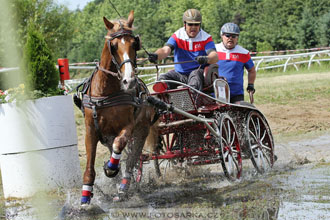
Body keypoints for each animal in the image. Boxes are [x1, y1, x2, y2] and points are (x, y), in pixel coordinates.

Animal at [76, 10, 156, 205]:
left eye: (135, 43)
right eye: (113, 45)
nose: (130, 81)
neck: (107, 92)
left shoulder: (128, 126)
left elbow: (120, 145)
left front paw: (111, 168)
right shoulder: (91, 130)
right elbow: (89, 167)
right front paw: (85, 198)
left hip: (142, 131)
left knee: (131, 160)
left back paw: (123, 186)